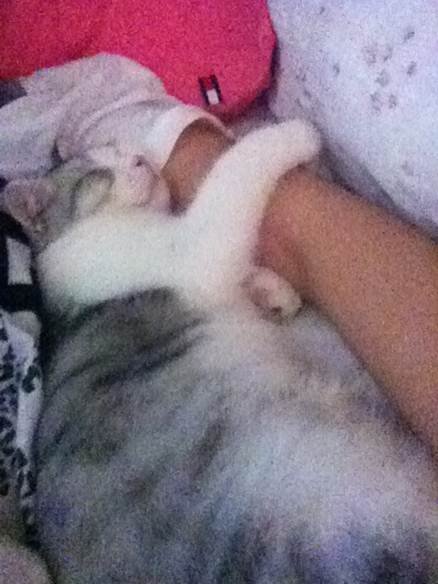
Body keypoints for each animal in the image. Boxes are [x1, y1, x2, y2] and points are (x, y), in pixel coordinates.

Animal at [4, 120, 438, 584]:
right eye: (97, 173)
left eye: (121, 149)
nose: (140, 160)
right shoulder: (193, 249)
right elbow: (235, 168)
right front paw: (292, 134)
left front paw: (272, 291)